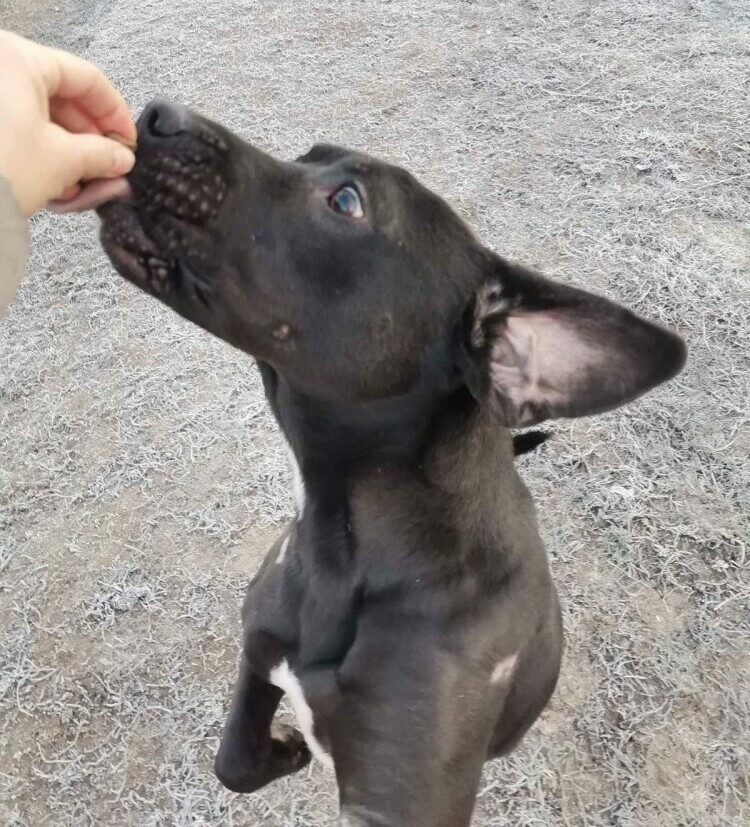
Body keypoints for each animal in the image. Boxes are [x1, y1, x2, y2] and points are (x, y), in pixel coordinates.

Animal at [98, 100, 688, 824]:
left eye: (346, 201)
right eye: (308, 155)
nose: (157, 113)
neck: (345, 552)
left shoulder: (402, 800)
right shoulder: (258, 646)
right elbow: (233, 762)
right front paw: (284, 749)